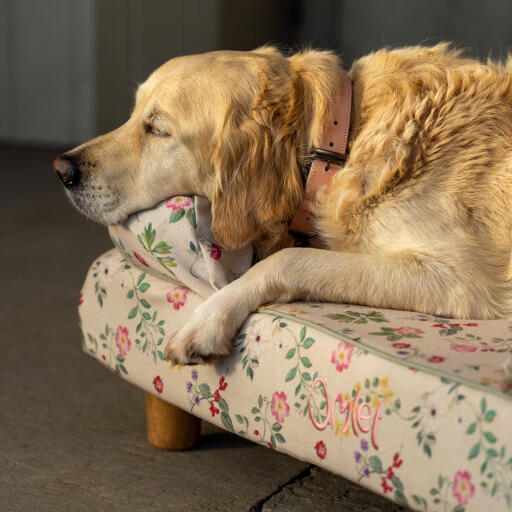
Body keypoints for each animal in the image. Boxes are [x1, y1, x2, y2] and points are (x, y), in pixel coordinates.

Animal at [53, 44, 512, 364]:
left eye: (158, 129)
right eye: (133, 115)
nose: (62, 169)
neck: (341, 143)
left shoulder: (459, 278)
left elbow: (288, 259)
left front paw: (209, 320)